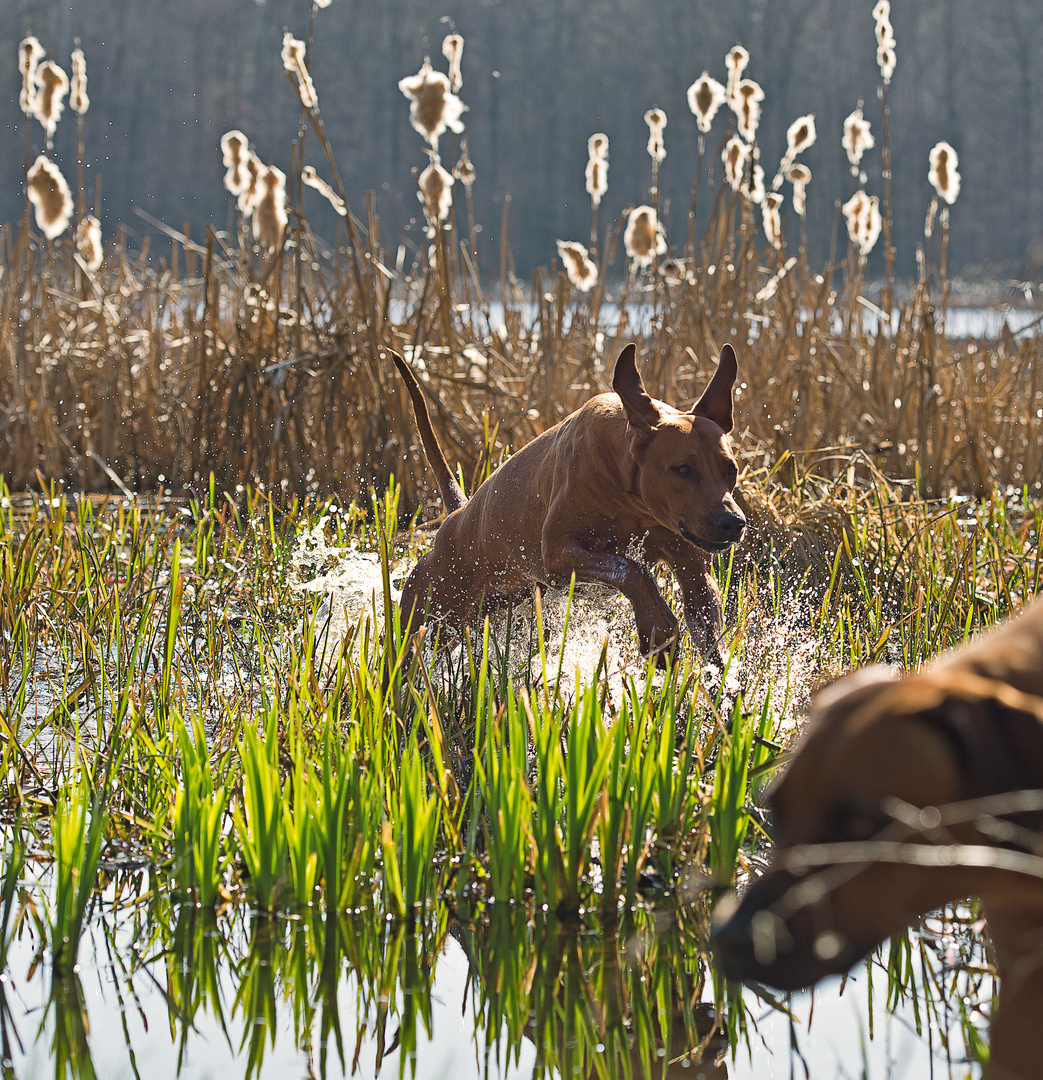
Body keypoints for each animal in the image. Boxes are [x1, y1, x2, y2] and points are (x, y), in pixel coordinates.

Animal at [390, 345, 742, 660]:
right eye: (683, 469)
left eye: (731, 470)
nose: (733, 523)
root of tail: (457, 516)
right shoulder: (559, 553)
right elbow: (633, 571)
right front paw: (657, 624)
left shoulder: (694, 570)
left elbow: (710, 633)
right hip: (425, 619)